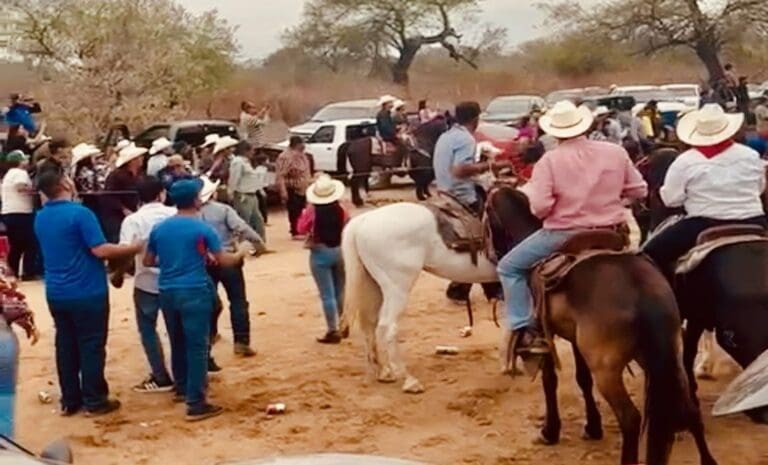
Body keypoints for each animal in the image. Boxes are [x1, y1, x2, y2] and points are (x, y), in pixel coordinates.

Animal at [343, 185, 717, 465]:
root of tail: (363, 223)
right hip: (396, 283)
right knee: (386, 327)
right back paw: (406, 379)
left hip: (379, 284)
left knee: (371, 325)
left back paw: (383, 371)